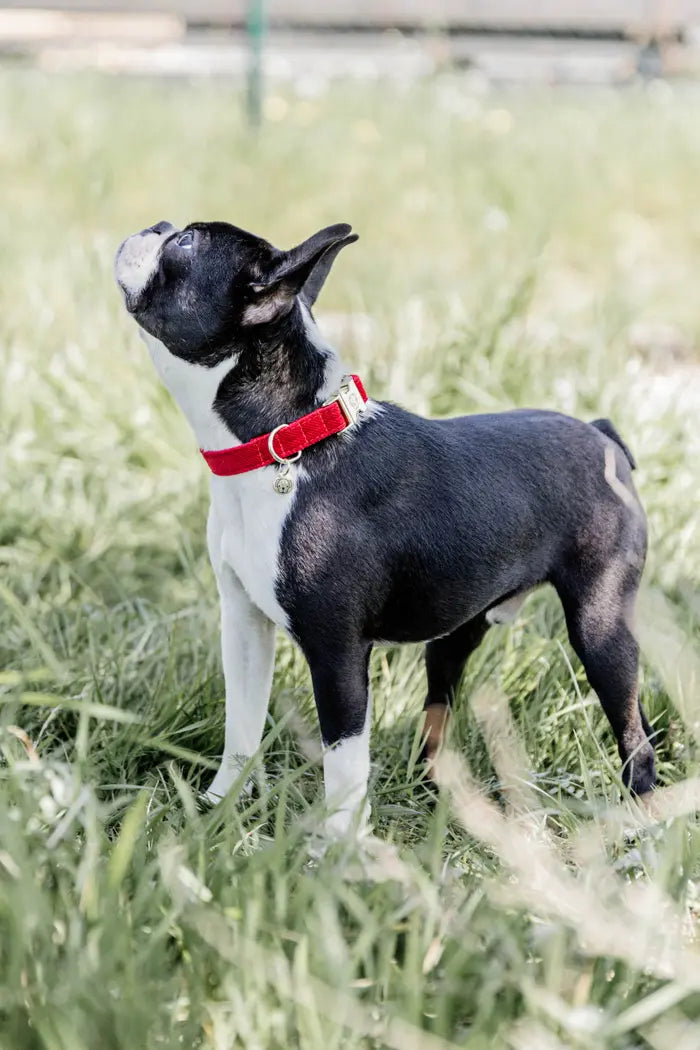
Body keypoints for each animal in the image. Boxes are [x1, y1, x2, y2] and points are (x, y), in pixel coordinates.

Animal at [114, 219, 659, 835]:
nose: (155, 226)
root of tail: (602, 434)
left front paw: (338, 847)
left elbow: (344, 760)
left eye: (185, 245)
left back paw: (640, 822)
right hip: (457, 633)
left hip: (599, 625)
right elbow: (242, 724)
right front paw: (217, 807)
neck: (285, 441)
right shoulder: (245, 623)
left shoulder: (337, 652)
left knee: (631, 728)